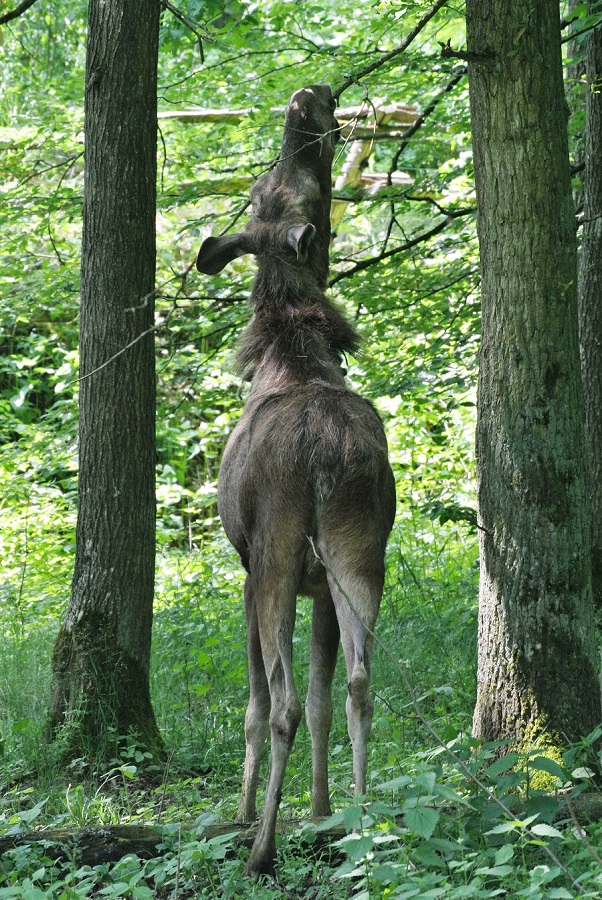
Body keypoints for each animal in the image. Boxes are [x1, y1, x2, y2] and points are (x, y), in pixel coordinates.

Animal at [196, 84, 396, 877]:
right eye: (267, 187)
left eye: (301, 188)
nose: (309, 98)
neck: (292, 348)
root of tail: (323, 460)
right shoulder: (318, 585)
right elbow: (321, 697)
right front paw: (320, 811)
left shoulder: (248, 568)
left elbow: (257, 707)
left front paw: (250, 812)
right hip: (357, 549)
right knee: (361, 683)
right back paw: (368, 828)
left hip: (279, 554)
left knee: (277, 703)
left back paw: (260, 848)